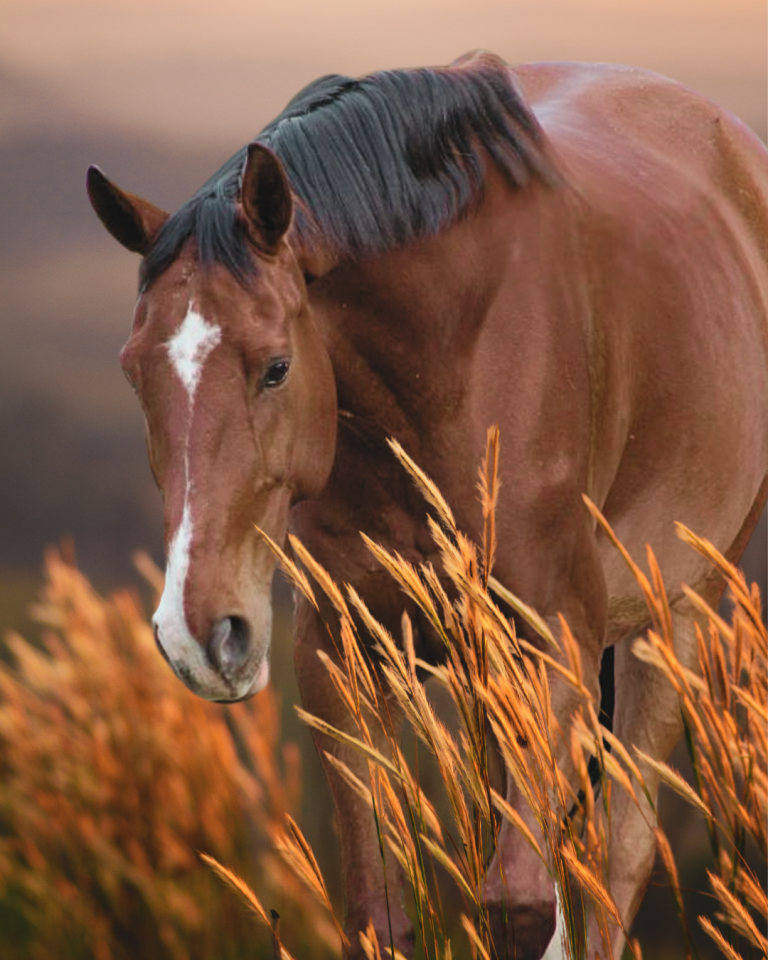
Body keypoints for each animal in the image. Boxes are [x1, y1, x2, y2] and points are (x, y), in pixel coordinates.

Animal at [86, 52, 768, 959]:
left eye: (275, 367)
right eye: (135, 372)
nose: (201, 636)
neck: (452, 352)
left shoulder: (556, 641)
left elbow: (523, 904)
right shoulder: (341, 654)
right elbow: (382, 918)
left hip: (673, 620)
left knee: (615, 863)